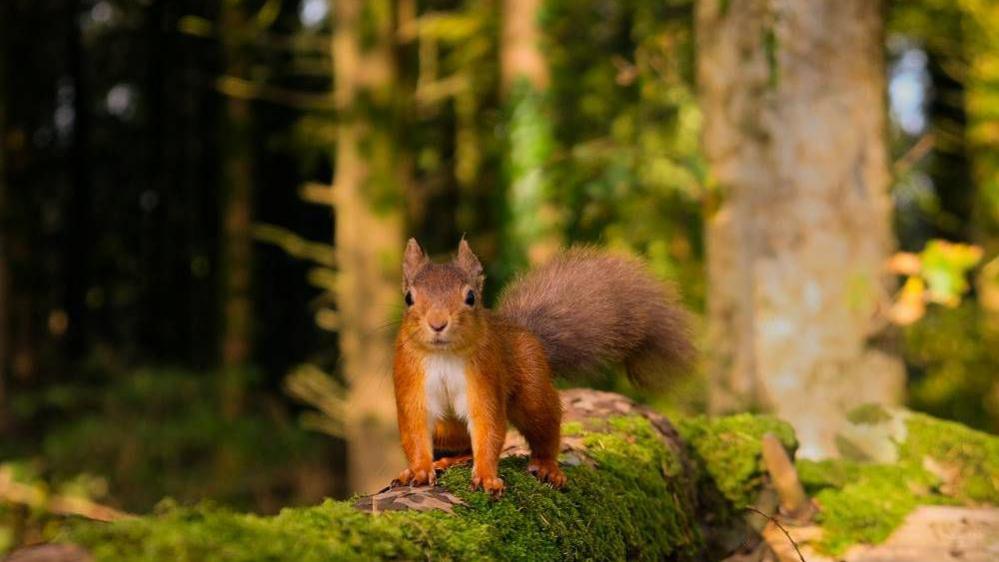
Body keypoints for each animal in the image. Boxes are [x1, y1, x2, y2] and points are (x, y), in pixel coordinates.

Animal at [392, 237, 696, 494]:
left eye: (470, 297)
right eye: (408, 298)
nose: (437, 323)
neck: (444, 355)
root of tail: (523, 332)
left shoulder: (485, 379)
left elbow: (488, 427)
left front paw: (487, 476)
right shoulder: (411, 380)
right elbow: (415, 430)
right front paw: (418, 471)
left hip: (534, 396)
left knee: (543, 430)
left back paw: (547, 466)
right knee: (462, 446)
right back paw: (446, 461)